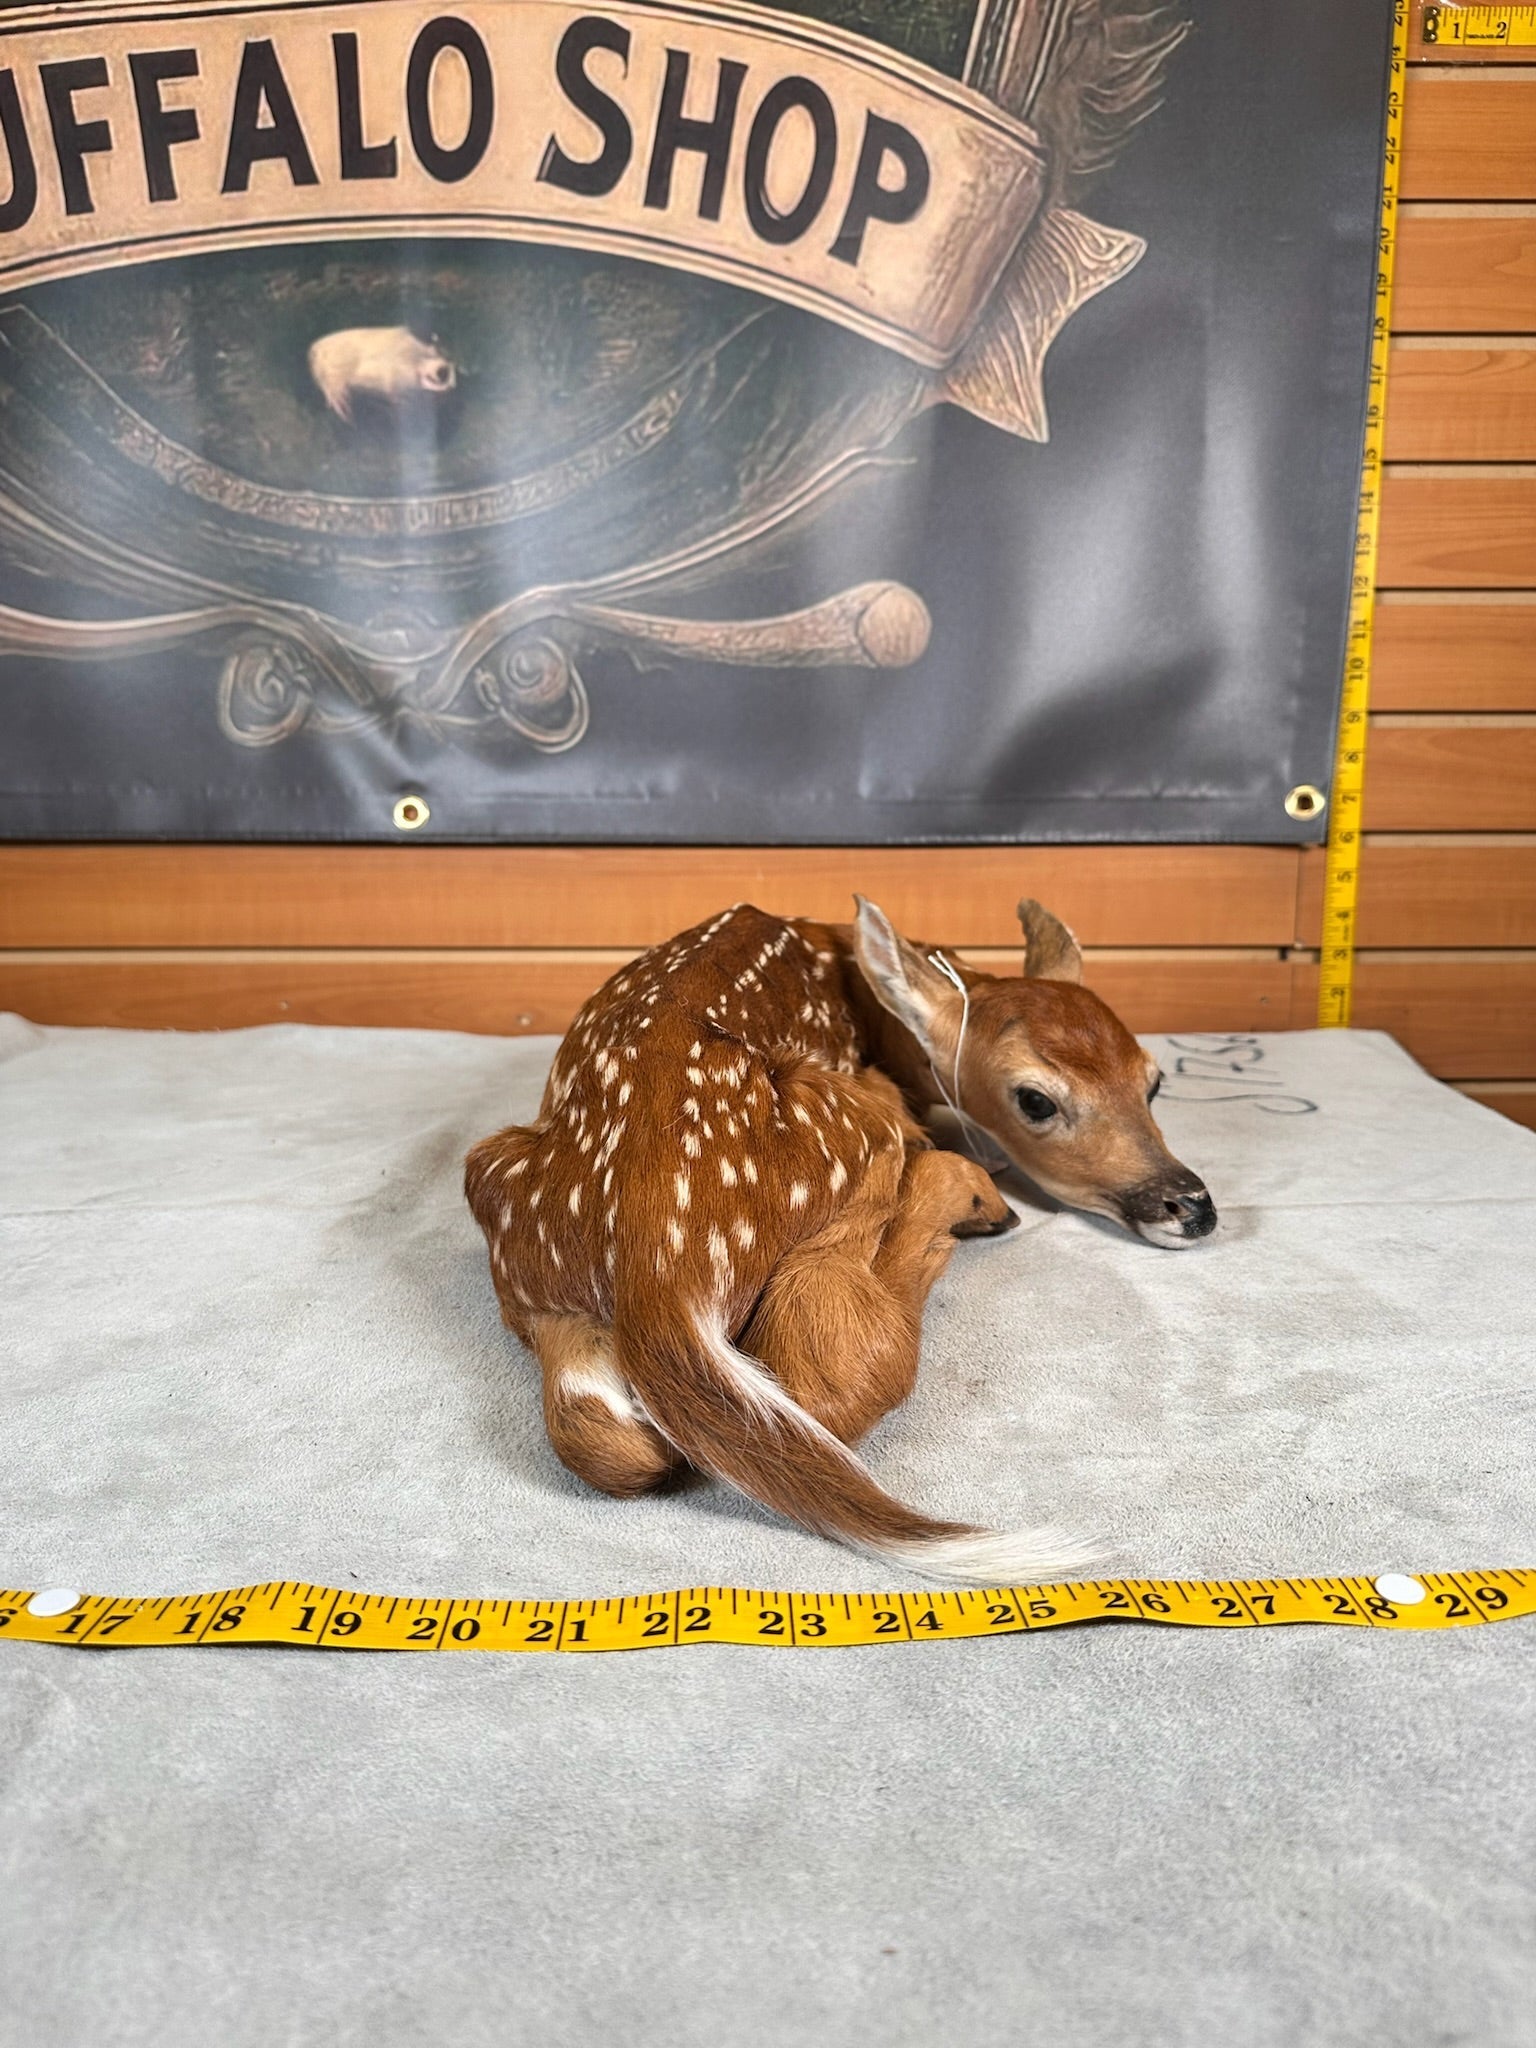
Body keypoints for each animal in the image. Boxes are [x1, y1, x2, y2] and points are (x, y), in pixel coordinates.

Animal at [464, 897, 1216, 1582]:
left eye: (1154, 1080)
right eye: (1035, 1100)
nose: (1192, 1206)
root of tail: (657, 1270)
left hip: (505, 1199)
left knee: (606, 1441)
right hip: (850, 1117)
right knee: (832, 1370)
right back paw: (974, 1199)